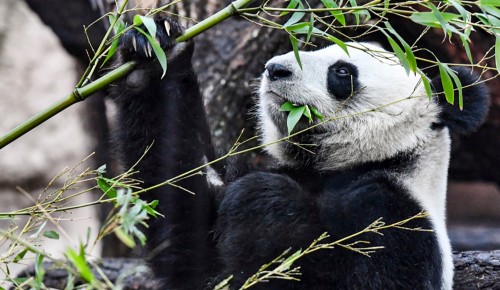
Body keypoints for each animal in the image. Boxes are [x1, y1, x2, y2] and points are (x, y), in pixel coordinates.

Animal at [109, 17, 488, 290]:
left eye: (341, 71)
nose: (275, 69)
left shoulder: (397, 215)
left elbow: (372, 277)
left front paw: (264, 201)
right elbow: (180, 225)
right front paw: (155, 50)